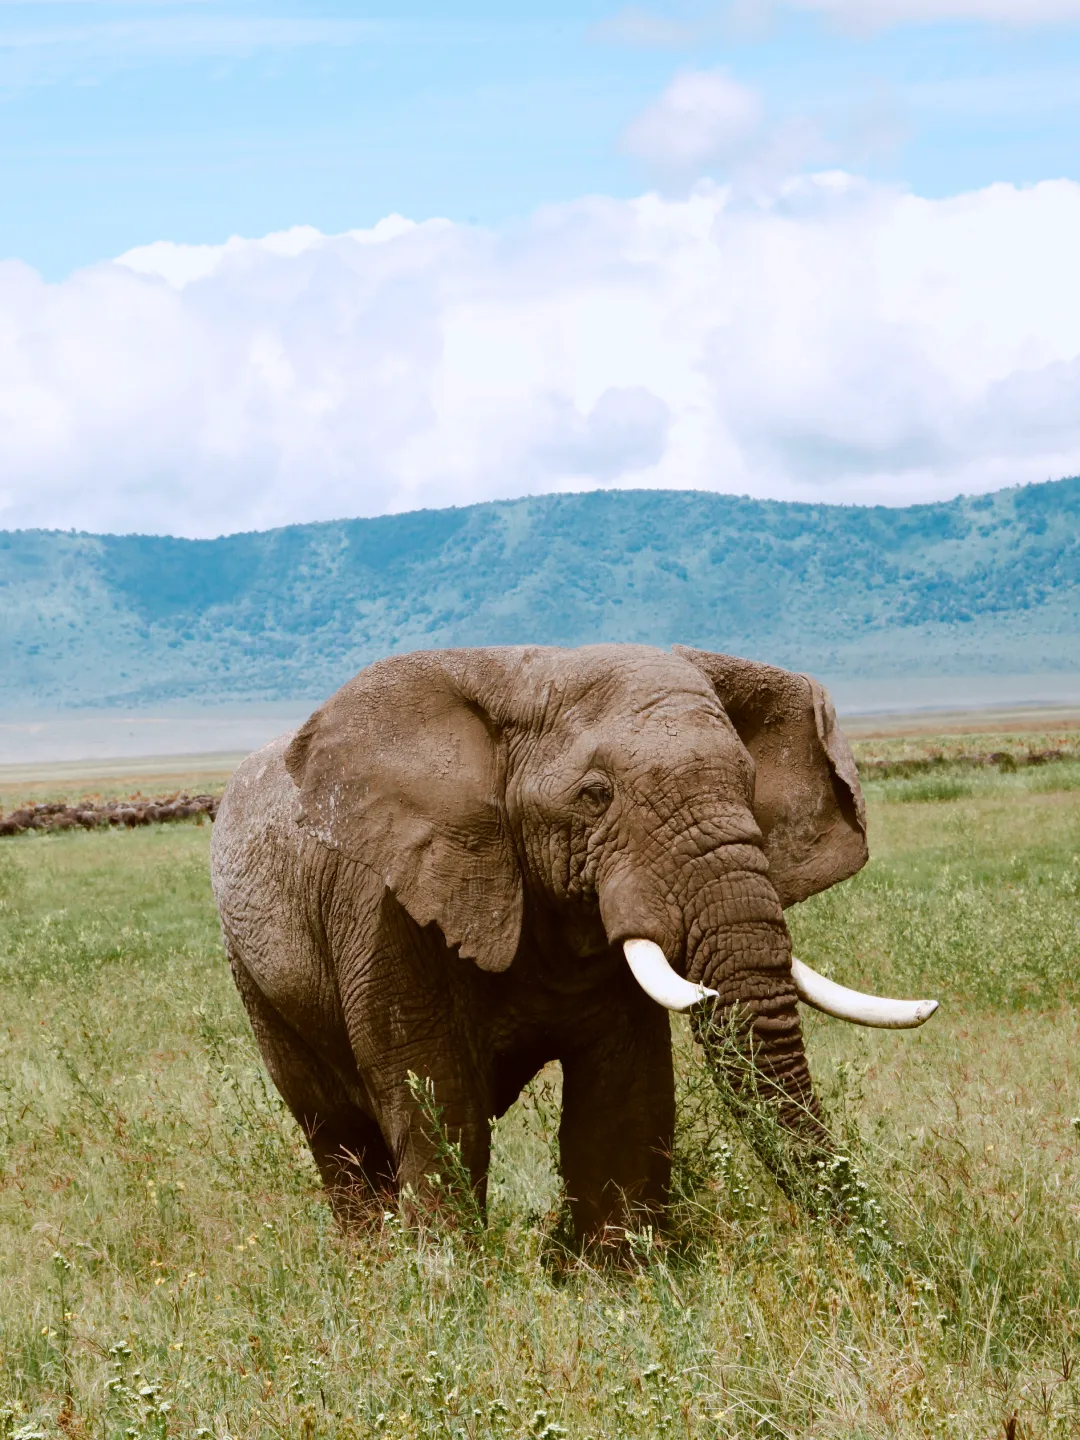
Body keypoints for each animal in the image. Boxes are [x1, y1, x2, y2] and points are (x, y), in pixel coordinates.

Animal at [210, 644, 937, 1243]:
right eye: (595, 795)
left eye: (750, 785)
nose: (878, 1252)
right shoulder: (388, 907)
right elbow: (436, 1097)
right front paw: (446, 1283)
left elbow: (622, 1098)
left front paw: (618, 1281)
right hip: (251, 971)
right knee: (335, 1128)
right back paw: (369, 1263)